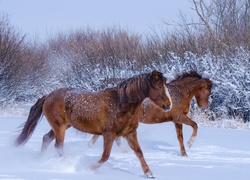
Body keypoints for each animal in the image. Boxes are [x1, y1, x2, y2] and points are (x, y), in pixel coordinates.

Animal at [15, 69, 172, 178]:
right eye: (158, 87)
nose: (168, 105)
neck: (121, 104)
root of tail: (47, 96)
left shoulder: (130, 133)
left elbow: (139, 152)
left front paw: (149, 173)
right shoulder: (109, 134)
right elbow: (105, 156)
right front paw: (89, 168)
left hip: (62, 126)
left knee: (46, 139)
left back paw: (40, 160)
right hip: (59, 126)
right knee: (58, 146)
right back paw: (67, 165)